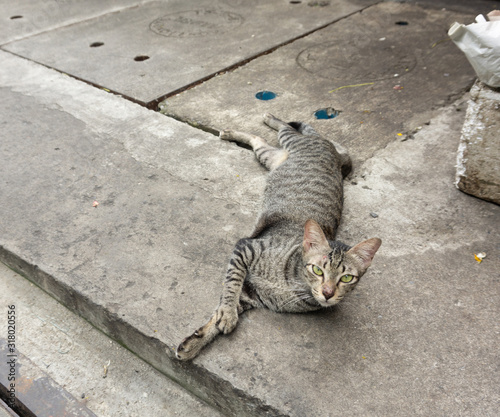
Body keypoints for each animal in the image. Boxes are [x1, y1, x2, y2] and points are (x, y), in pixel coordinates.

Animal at [177, 112, 382, 360]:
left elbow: (222, 308)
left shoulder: (250, 295)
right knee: (289, 128)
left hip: (269, 156)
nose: (328, 292)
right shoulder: (246, 247)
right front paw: (225, 314)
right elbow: (230, 286)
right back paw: (267, 119)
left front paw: (196, 340)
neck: (294, 286)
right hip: (292, 140)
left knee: (260, 140)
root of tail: (336, 157)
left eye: (346, 278)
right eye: (318, 270)